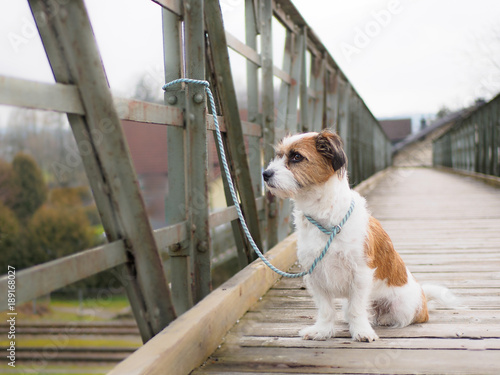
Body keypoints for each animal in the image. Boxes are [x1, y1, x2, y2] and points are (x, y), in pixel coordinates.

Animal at [262, 130, 454, 344]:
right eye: (278, 155)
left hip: (403, 307)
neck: (326, 218)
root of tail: (422, 296)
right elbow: (326, 309)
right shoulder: (315, 275)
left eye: (296, 156)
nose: (265, 174)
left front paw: (361, 331)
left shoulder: (360, 274)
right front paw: (322, 330)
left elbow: (357, 308)